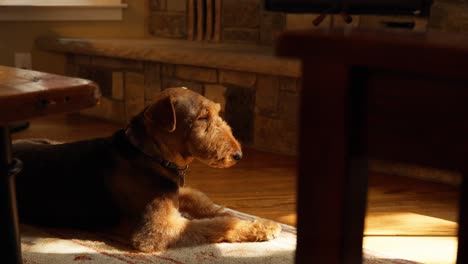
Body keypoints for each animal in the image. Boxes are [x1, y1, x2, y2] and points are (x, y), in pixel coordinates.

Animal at [12, 87, 280, 252]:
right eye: (202, 118)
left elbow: (205, 203)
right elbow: (217, 224)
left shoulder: (174, 192)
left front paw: (251, 218)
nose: (238, 155)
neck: (148, 154)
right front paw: (263, 227)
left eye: (216, 113)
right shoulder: (157, 230)